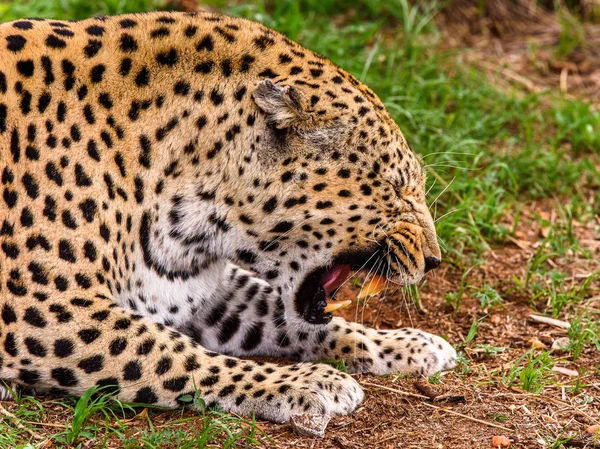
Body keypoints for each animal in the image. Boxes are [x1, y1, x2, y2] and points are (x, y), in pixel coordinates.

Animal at [0, 11, 458, 424]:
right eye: (397, 189)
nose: (434, 260)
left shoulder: (199, 289)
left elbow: (278, 312)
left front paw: (409, 345)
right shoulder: (41, 307)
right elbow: (170, 354)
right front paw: (307, 383)